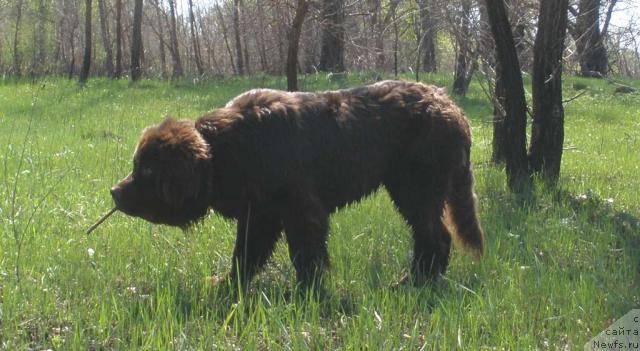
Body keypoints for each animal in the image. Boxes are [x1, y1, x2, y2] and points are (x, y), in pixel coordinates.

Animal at [110, 80, 482, 288]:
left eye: (146, 171)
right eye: (137, 166)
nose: (114, 192)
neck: (226, 151)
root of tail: (453, 108)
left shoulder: (300, 209)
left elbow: (305, 255)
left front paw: (309, 294)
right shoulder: (259, 214)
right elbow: (245, 255)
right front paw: (228, 286)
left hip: (416, 187)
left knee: (435, 236)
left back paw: (411, 284)